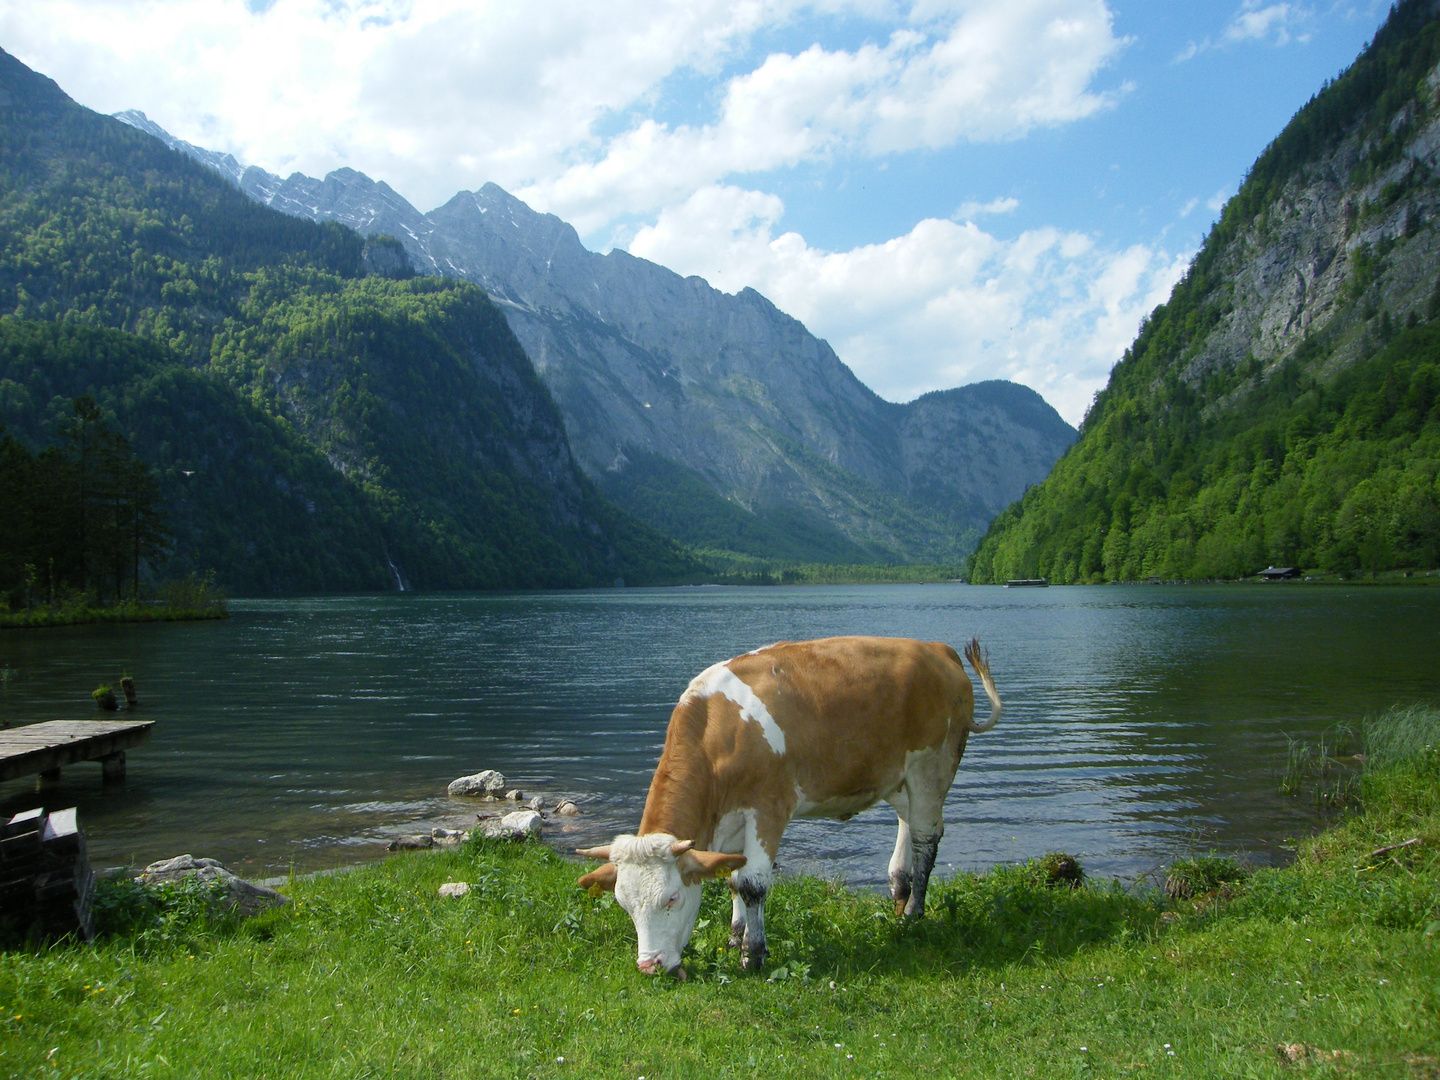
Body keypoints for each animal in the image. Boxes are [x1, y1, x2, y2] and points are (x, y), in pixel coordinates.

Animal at [573, 633, 1002, 979]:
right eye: (624, 904)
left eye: (672, 898)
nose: (650, 965)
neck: (718, 732)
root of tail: (937, 649)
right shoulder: (731, 819)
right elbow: (732, 877)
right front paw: (735, 936)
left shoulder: (769, 808)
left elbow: (752, 884)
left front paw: (754, 955)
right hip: (896, 774)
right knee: (907, 824)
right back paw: (899, 889)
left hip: (933, 766)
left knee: (927, 838)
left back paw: (913, 913)